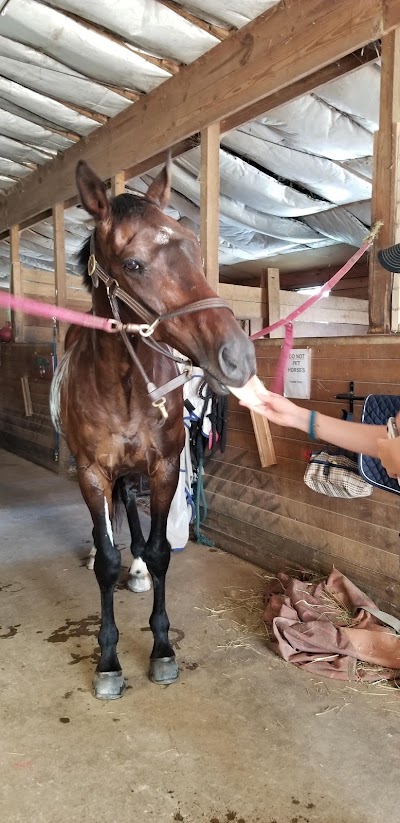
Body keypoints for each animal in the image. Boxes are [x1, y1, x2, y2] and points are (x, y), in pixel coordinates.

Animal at [50, 161, 256, 700]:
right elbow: (106, 560)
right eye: (134, 264)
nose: (238, 357)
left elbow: (163, 551)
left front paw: (162, 649)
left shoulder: (162, 468)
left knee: (130, 507)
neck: (123, 382)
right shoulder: (92, 473)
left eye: (193, 247)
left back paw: (138, 567)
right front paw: (108, 661)